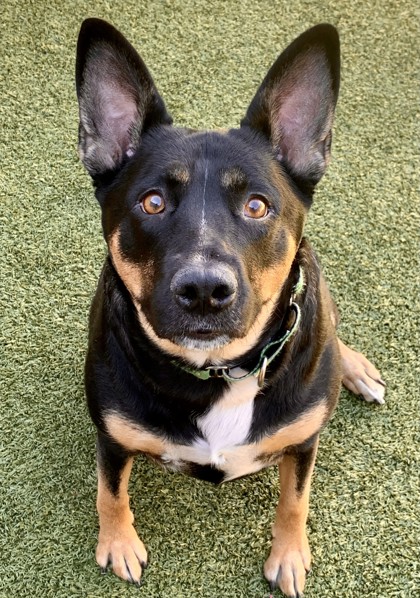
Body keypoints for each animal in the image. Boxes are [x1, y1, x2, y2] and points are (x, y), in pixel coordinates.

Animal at [74, 18, 384, 598]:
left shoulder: (304, 442)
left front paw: (289, 557)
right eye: (152, 202)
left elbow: (295, 501)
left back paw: (355, 368)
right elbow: (110, 492)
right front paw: (118, 544)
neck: (219, 371)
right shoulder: (111, 436)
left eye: (256, 206)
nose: (203, 290)